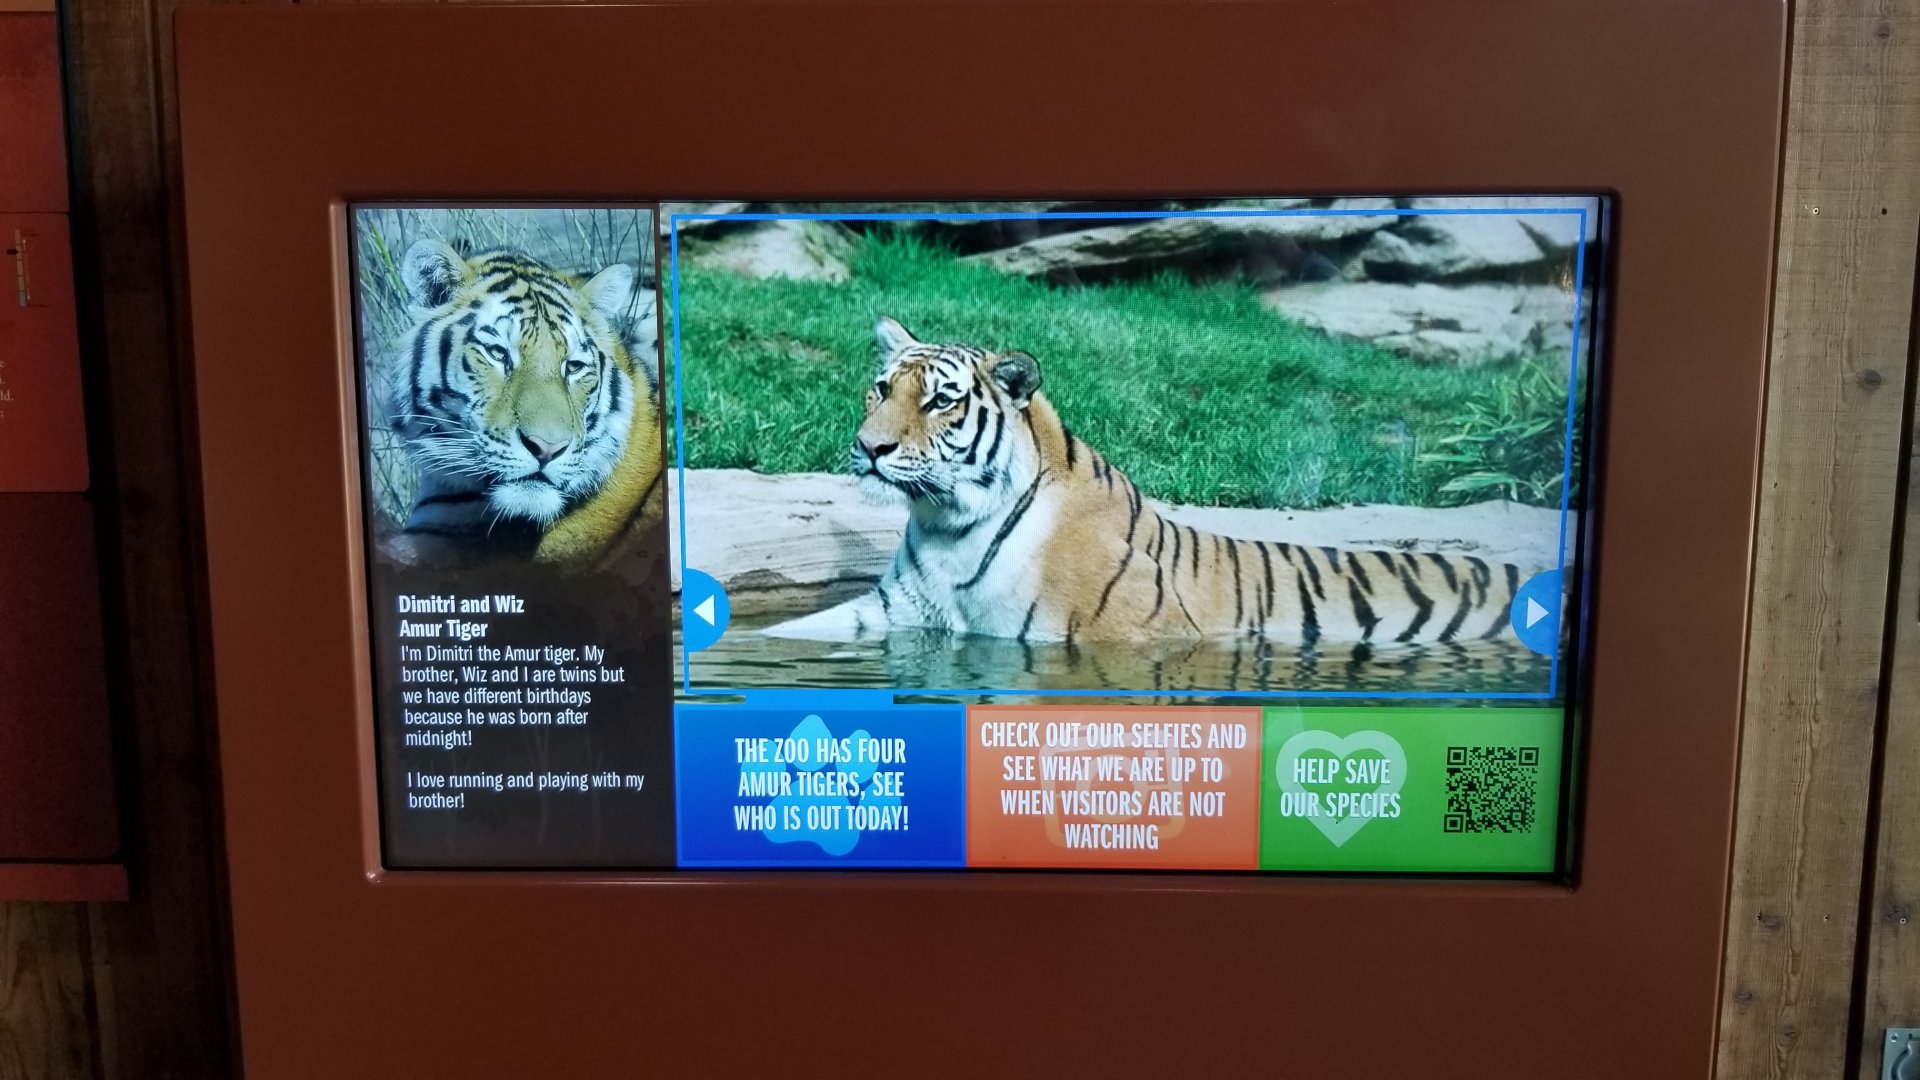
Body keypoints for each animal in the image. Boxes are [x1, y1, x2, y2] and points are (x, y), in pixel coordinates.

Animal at [763, 317, 1538, 646]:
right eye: (881, 388)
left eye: (940, 401)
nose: (869, 447)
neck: (948, 523)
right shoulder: (893, 611)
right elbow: (783, 633)